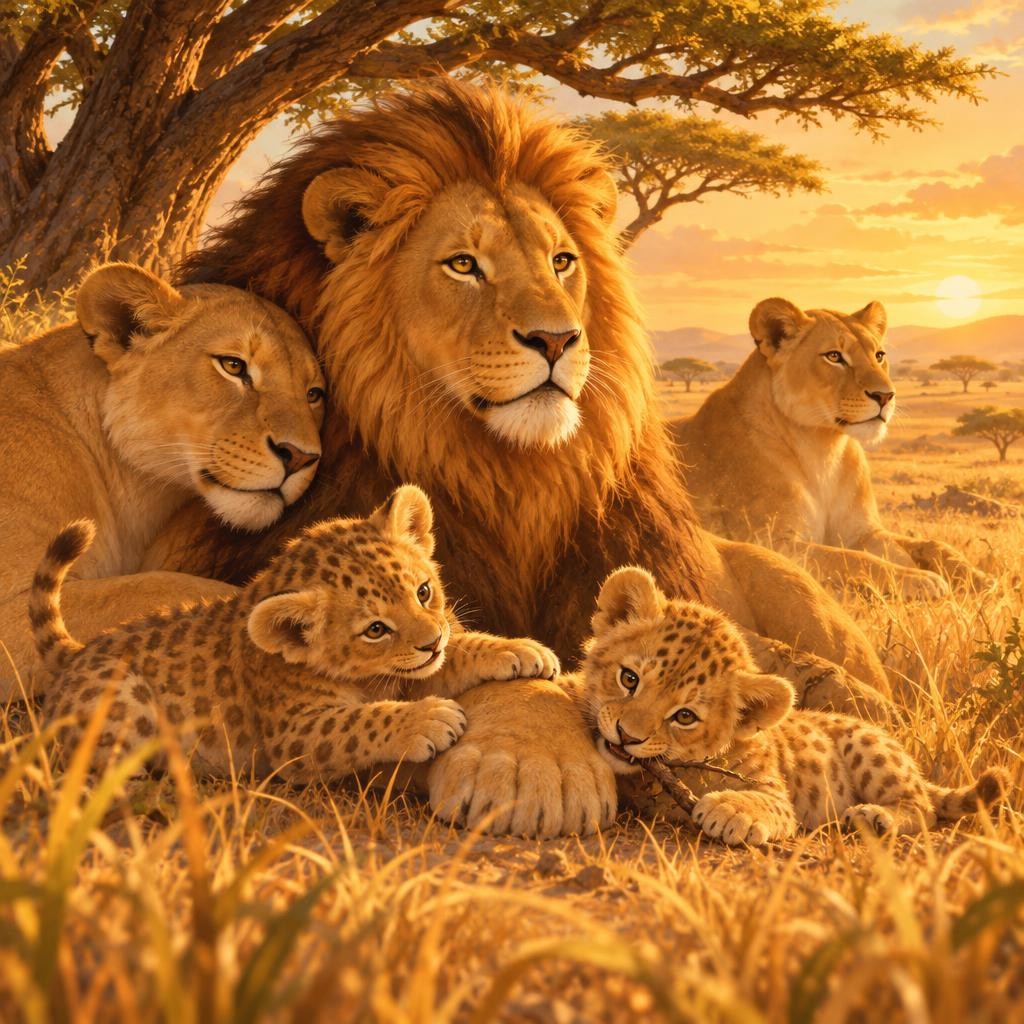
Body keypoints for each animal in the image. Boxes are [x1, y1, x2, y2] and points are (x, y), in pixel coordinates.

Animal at [120, 80, 893, 837]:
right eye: (464, 264)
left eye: (561, 261)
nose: (557, 339)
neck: (511, 474)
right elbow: (497, 666)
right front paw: (534, 769)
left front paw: (838, 705)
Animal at [670, 298, 988, 598]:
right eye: (834, 356)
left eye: (879, 355)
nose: (886, 395)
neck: (823, 447)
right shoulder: (772, 542)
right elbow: (854, 559)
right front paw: (920, 579)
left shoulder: (864, 530)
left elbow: (931, 544)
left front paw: (980, 578)